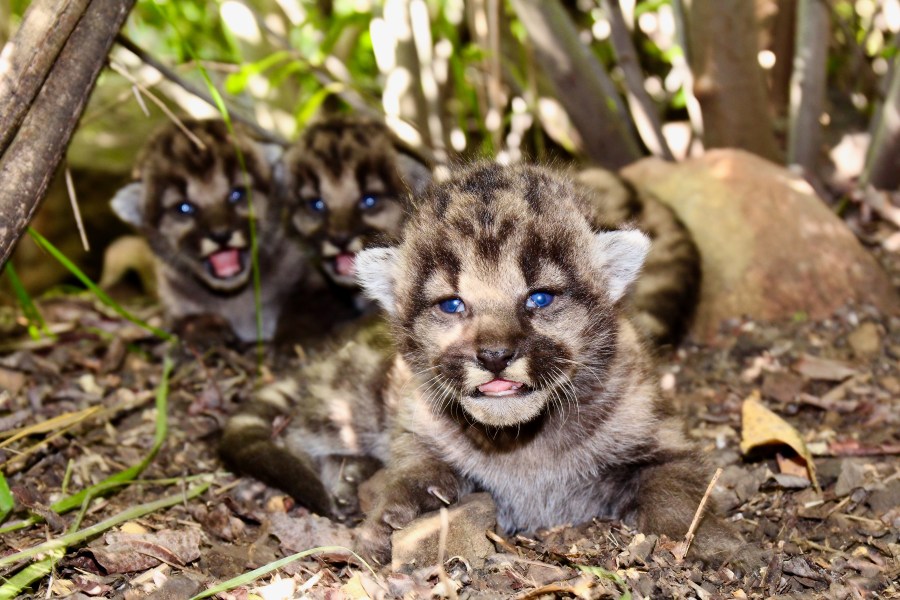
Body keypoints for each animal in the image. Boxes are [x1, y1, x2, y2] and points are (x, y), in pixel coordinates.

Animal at [111, 118, 312, 342]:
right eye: (184, 208)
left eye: (237, 193)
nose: (220, 234)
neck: (234, 298)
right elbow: (189, 321)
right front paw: (207, 331)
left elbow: (307, 306)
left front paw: (296, 341)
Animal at [221, 162, 748, 564]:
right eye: (452, 305)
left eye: (540, 297)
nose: (494, 356)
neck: (523, 448)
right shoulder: (416, 434)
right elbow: (412, 473)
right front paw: (388, 522)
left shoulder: (662, 442)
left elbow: (679, 493)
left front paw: (719, 544)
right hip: (354, 399)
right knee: (299, 433)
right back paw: (349, 477)